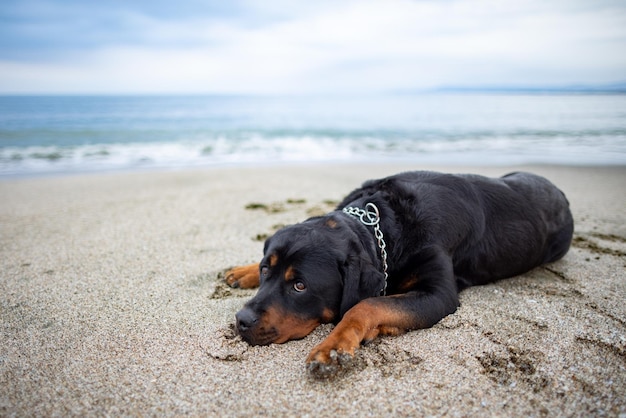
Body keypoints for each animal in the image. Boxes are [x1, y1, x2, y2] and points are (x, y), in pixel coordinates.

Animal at [224, 169, 572, 376]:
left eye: (300, 286)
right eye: (265, 269)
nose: (242, 320)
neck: (379, 226)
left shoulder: (438, 295)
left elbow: (367, 304)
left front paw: (333, 346)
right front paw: (243, 270)